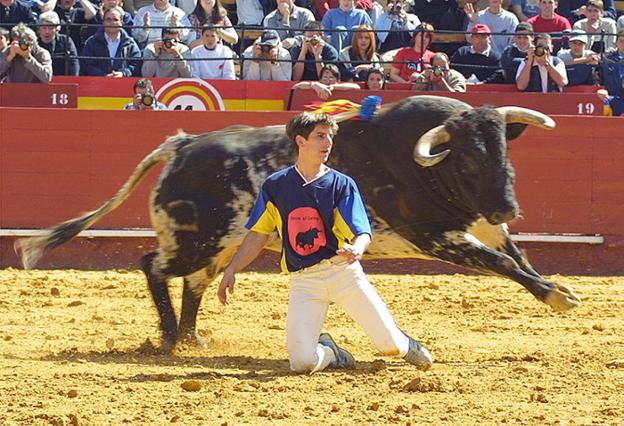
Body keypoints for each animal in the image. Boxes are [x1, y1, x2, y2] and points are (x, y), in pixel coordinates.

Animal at [13, 95, 580, 350]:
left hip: (221, 245)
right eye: (466, 160)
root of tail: (183, 144)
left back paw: (192, 339)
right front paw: (557, 296)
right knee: (152, 264)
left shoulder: (480, 226)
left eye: (504, 149)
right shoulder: (437, 237)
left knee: (194, 284)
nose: (506, 207)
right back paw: (172, 338)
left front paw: (559, 290)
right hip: (198, 239)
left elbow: (517, 257)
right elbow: (503, 265)